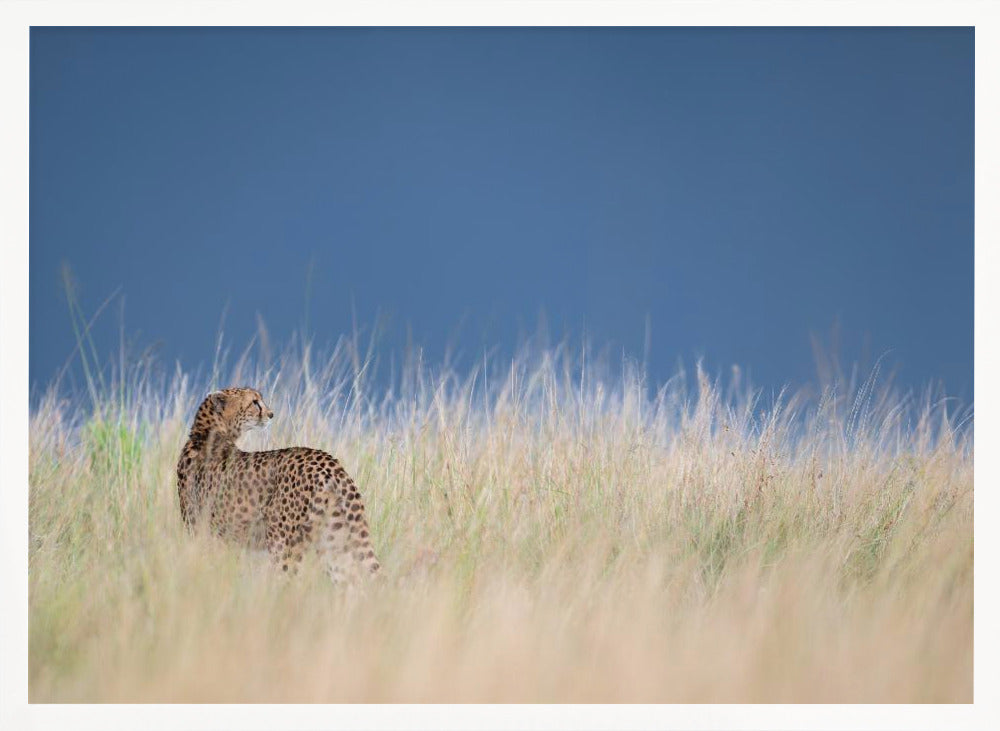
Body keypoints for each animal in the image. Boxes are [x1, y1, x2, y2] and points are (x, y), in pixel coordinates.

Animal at [176, 388, 378, 584]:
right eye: (254, 402)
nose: (271, 414)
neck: (205, 434)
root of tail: (327, 461)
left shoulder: (205, 533)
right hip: (335, 541)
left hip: (283, 543)